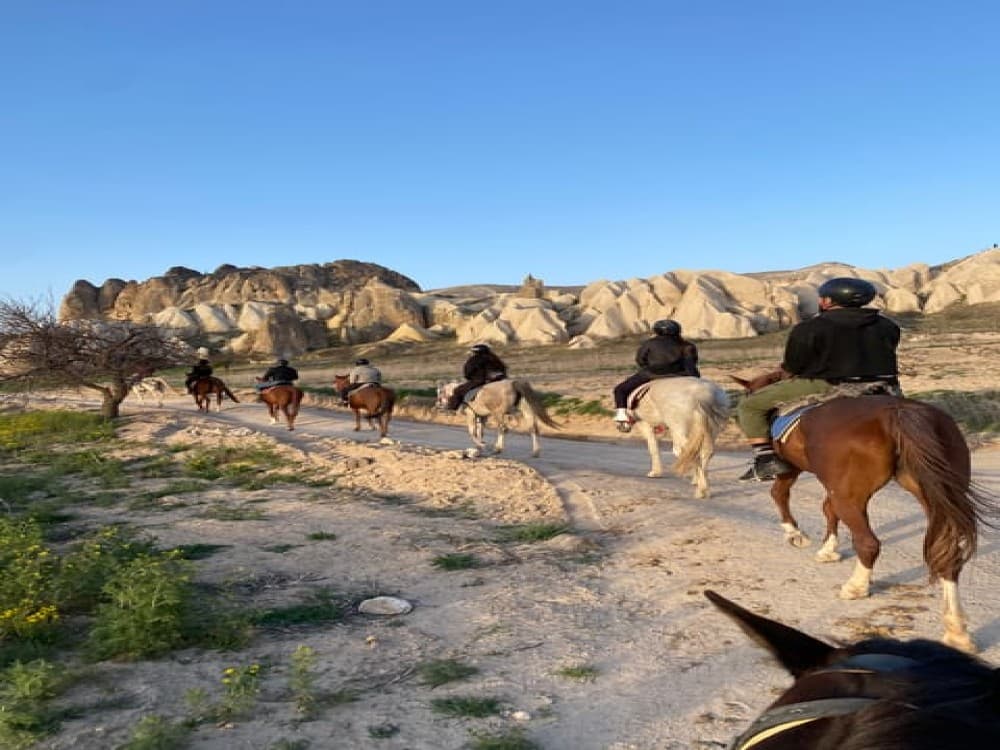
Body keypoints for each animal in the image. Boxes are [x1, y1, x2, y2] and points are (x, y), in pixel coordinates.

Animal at [732, 370, 996, 652]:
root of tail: (898, 412)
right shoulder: (834, 486)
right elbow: (827, 509)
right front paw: (828, 549)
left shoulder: (793, 469)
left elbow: (781, 494)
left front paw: (795, 534)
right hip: (936, 494)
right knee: (947, 554)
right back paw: (956, 631)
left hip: (851, 497)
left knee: (868, 543)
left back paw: (856, 586)